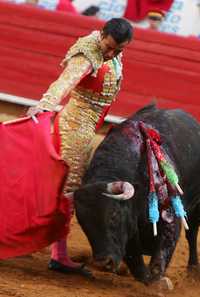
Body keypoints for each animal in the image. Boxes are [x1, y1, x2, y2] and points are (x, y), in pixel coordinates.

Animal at [73, 105, 200, 286]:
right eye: (81, 222)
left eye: (114, 215)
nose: (102, 263)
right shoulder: (129, 228)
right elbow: (136, 262)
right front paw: (147, 278)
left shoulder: (170, 214)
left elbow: (161, 255)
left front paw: (159, 283)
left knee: (192, 234)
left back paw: (193, 269)